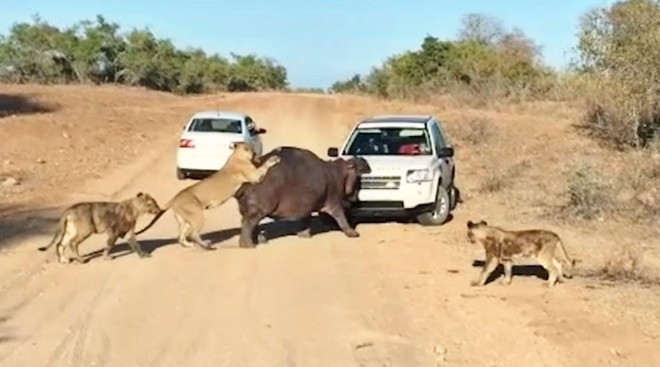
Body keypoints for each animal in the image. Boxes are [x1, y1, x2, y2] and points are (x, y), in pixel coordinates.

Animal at [135, 142, 280, 250]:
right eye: (252, 150)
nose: (255, 154)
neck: (236, 155)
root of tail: (175, 198)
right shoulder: (254, 177)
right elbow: (264, 167)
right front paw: (273, 159)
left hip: (185, 219)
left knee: (181, 237)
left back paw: (190, 245)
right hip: (197, 214)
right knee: (193, 234)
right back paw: (207, 246)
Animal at [233, 146, 368, 247]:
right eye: (359, 168)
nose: (363, 158)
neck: (340, 172)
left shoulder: (307, 205)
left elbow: (306, 221)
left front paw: (304, 236)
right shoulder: (334, 201)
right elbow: (341, 217)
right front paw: (354, 233)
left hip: (255, 209)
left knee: (253, 225)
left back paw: (261, 242)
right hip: (257, 209)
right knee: (248, 224)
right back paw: (248, 245)